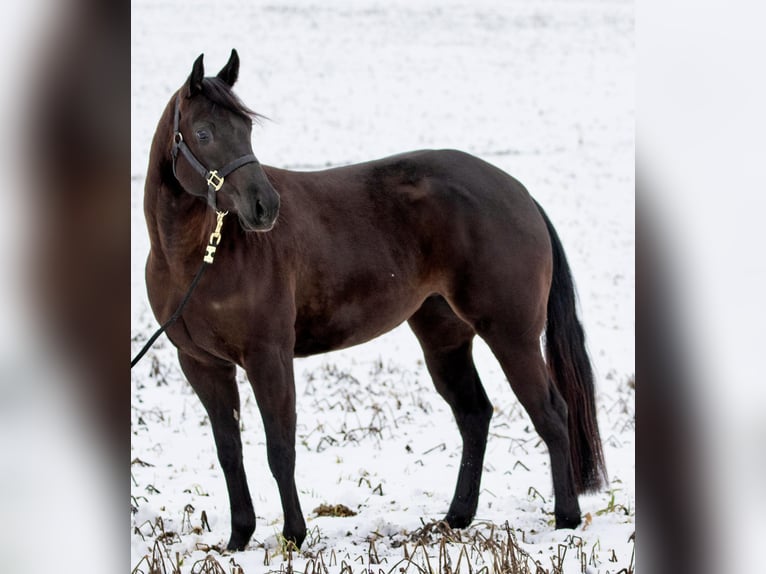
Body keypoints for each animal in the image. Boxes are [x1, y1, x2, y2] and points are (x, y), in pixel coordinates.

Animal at [141, 49, 607, 551]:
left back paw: (565, 520)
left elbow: (280, 448)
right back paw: (456, 518)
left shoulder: (269, 357)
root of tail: (519, 193)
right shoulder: (202, 365)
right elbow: (229, 452)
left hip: (511, 335)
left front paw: (294, 537)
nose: (264, 206)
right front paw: (238, 540)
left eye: (246, 128)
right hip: (444, 339)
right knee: (474, 414)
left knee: (552, 415)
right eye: (204, 133)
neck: (197, 256)